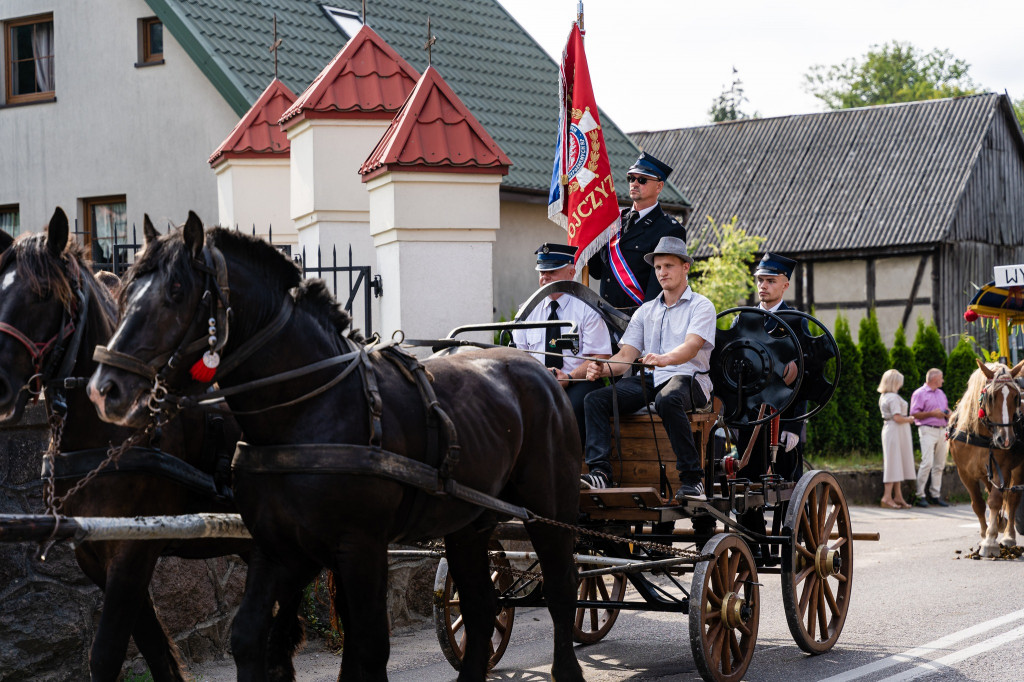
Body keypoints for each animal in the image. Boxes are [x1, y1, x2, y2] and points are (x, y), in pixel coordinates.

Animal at [0, 208, 299, 679]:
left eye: (43, 293)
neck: (107, 436)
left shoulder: (132, 554)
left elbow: (106, 654)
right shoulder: (97, 554)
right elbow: (156, 650)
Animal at [88, 212, 585, 679]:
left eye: (175, 291)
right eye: (125, 292)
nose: (105, 388)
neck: (305, 411)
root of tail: (541, 370)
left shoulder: (361, 548)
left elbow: (370, 647)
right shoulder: (277, 548)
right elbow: (249, 636)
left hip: (551, 510)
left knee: (563, 592)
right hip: (469, 525)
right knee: (482, 610)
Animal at [942, 358, 1024, 557]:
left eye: (1015, 397)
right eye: (991, 397)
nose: (1006, 439)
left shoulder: (1002, 468)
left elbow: (995, 500)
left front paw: (990, 540)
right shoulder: (964, 473)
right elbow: (978, 504)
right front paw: (984, 535)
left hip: (1018, 468)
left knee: (1013, 499)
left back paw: (1008, 536)